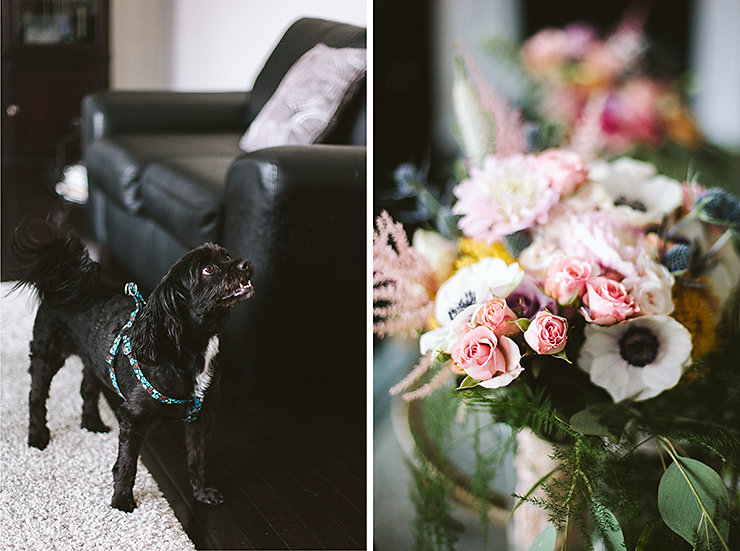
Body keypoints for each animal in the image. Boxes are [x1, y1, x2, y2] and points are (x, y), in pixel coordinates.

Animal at [10, 224, 254, 512]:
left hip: (94, 357)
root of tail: (63, 278)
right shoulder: (134, 417)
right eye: (208, 269)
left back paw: (92, 422)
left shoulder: (202, 415)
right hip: (48, 352)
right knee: (36, 394)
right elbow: (128, 463)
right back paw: (38, 435)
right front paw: (122, 501)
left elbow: (197, 458)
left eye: (226, 256)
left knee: (88, 388)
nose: (246, 263)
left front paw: (201, 492)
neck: (186, 346)